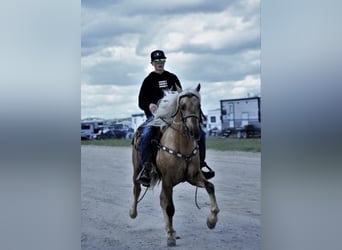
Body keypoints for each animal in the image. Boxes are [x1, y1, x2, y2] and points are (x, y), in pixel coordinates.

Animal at [130, 83, 220, 246]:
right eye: (182, 106)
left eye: (198, 105)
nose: (194, 131)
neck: (181, 144)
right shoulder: (168, 179)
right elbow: (170, 208)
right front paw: (171, 238)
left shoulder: (193, 176)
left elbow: (210, 186)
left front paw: (211, 221)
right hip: (137, 169)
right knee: (137, 189)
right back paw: (133, 213)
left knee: (161, 199)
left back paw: (169, 229)